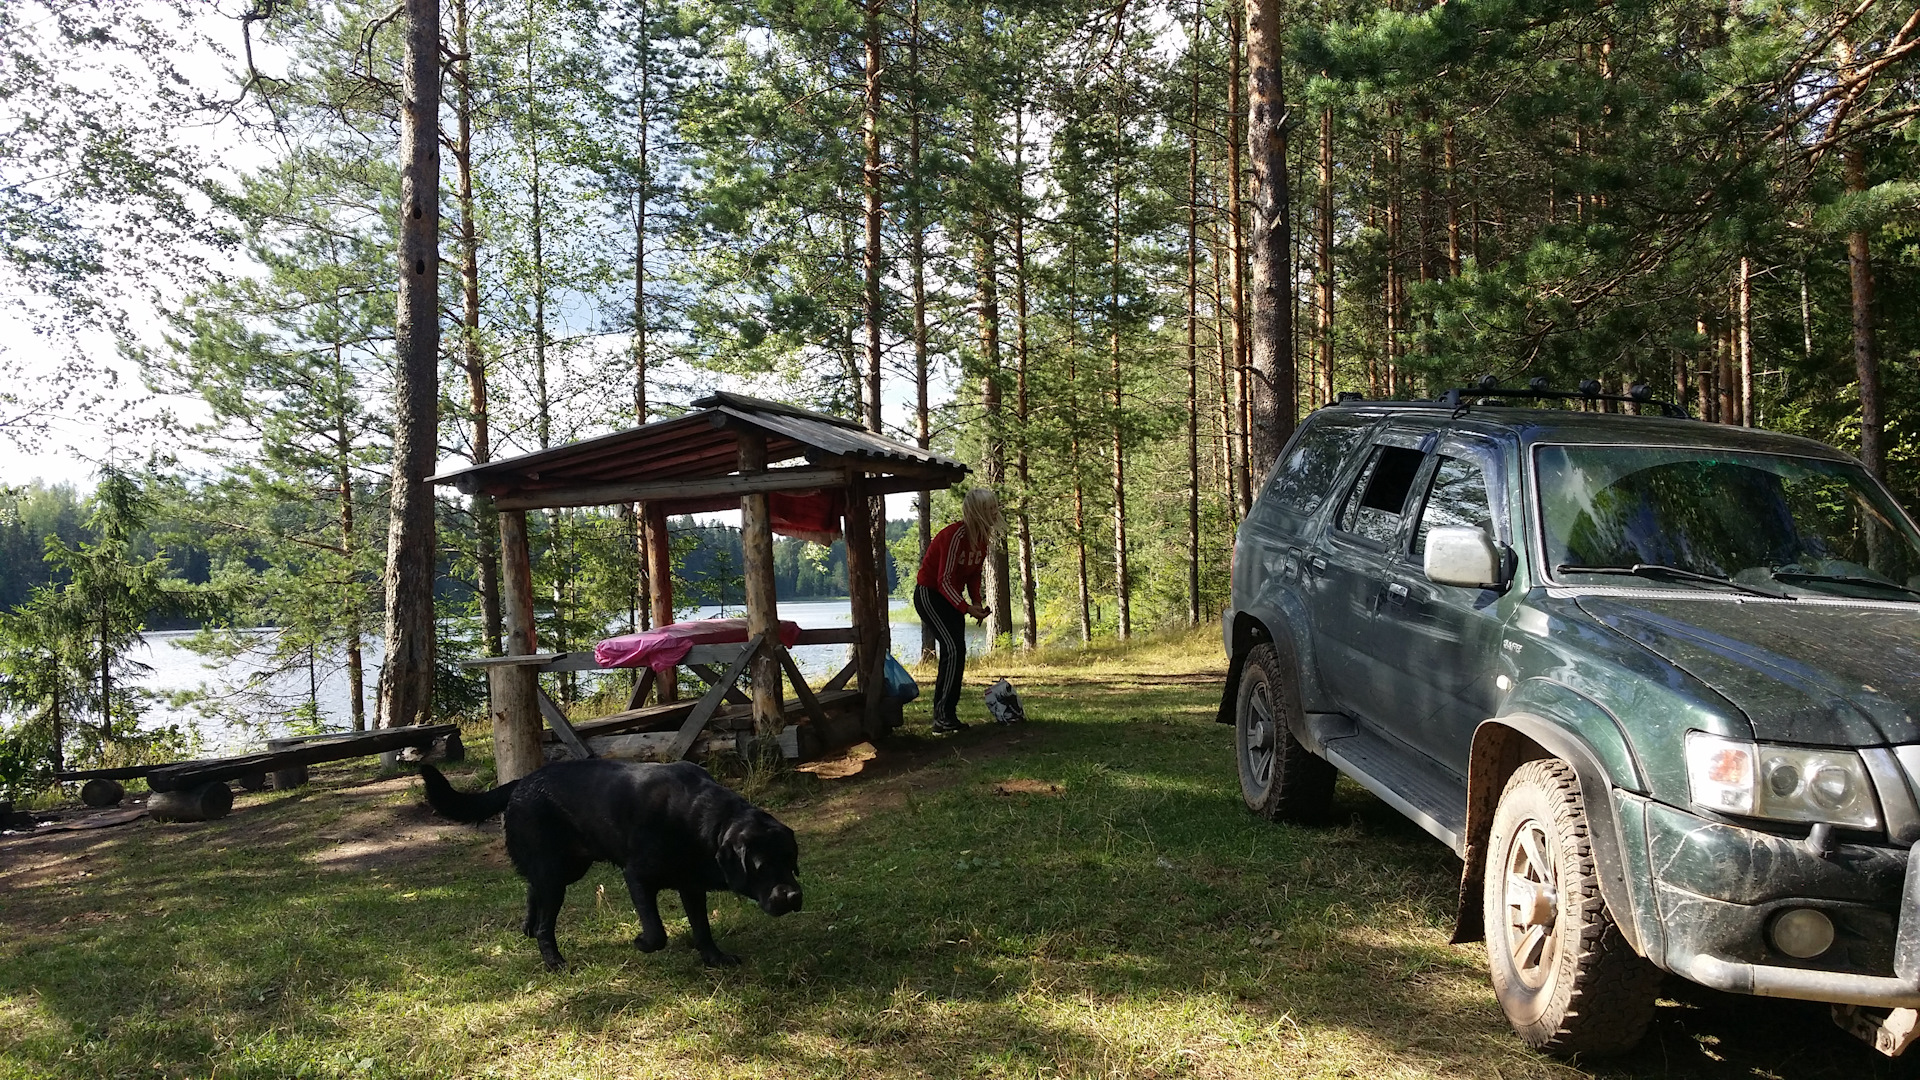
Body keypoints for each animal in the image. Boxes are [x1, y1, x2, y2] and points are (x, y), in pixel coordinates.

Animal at [420, 757, 802, 968]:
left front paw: (714, 958)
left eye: (791, 859)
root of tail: (520, 782)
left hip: (568, 869)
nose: (794, 896)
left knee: (532, 889)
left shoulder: (691, 886)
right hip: (557, 875)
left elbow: (702, 927)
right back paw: (553, 960)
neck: (698, 822)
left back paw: (528, 927)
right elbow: (657, 931)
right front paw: (642, 943)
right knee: (546, 922)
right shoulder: (638, 878)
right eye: (760, 866)